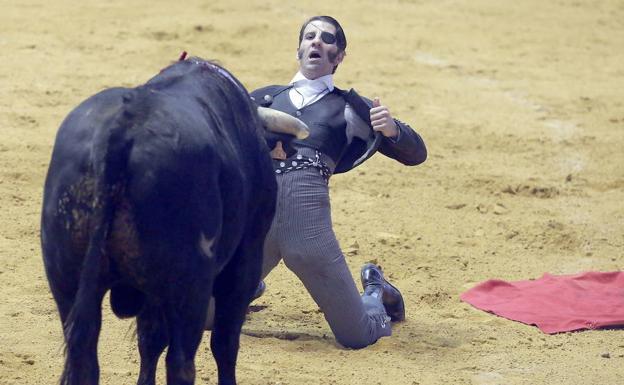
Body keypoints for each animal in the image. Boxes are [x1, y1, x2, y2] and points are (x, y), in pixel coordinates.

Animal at [41, 57, 278, 384]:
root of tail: (124, 127)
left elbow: (149, 341)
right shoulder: (244, 263)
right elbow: (224, 343)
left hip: (65, 277)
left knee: (85, 357)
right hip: (190, 287)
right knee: (181, 362)